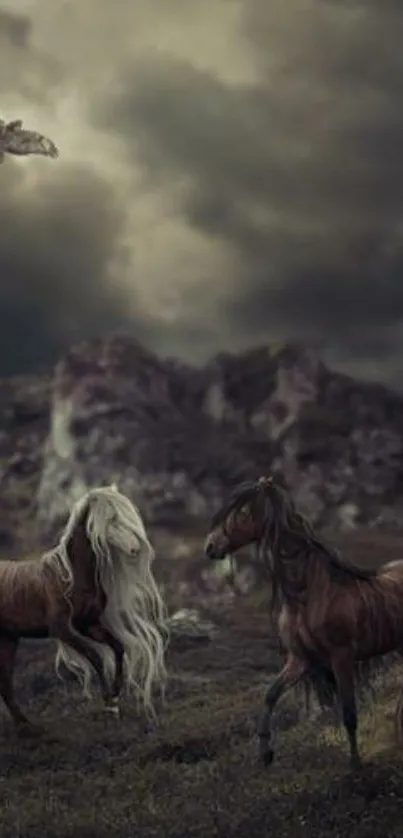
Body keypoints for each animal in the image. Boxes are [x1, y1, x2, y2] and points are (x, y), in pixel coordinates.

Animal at [0, 486, 168, 736]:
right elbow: (95, 656)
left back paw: (25, 726)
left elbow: (118, 648)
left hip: (9, 639)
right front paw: (108, 700)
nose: (135, 548)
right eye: (112, 519)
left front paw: (115, 697)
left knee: (5, 683)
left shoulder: (88, 625)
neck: (71, 576)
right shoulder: (62, 629)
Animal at [205, 476, 403, 772]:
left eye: (242, 511)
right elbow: (270, 695)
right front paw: (265, 753)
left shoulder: (341, 657)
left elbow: (349, 712)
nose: (210, 546)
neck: (310, 592)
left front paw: (355, 766)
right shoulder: (301, 660)